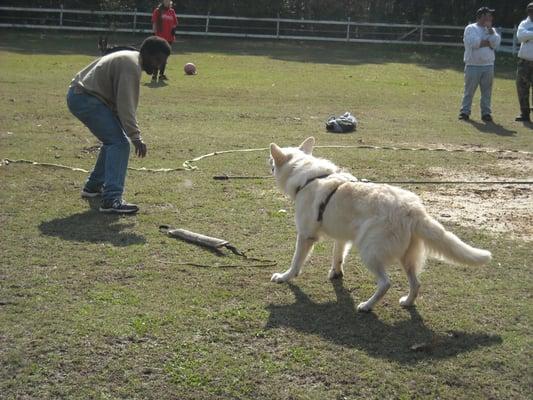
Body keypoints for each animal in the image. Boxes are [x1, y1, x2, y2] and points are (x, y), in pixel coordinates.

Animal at [268, 138, 492, 312]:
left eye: (272, 160)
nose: (267, 161)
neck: (309, 177)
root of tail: (412, 209)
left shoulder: (305, 235)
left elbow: (296, 262)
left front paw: (285, 276)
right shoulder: (342, 237)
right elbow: (337, 257)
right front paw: (336, 274)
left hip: (370, 252)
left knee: (385, 283)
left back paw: (367, 306)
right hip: (406, 258)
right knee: (416, 283)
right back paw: (408, 302)